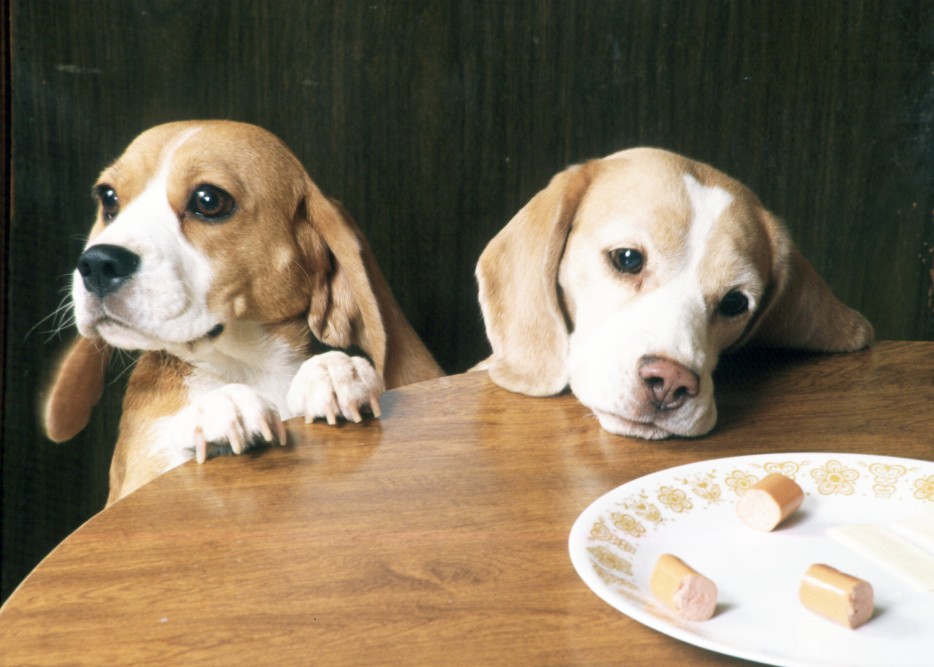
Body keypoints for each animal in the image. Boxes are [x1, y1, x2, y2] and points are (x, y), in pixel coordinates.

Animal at [45, 121, 448, 506]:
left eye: (208, 200)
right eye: (109, 198)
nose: (97, 264)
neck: (250, 367)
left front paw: (333, 370)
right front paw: (220, 407)